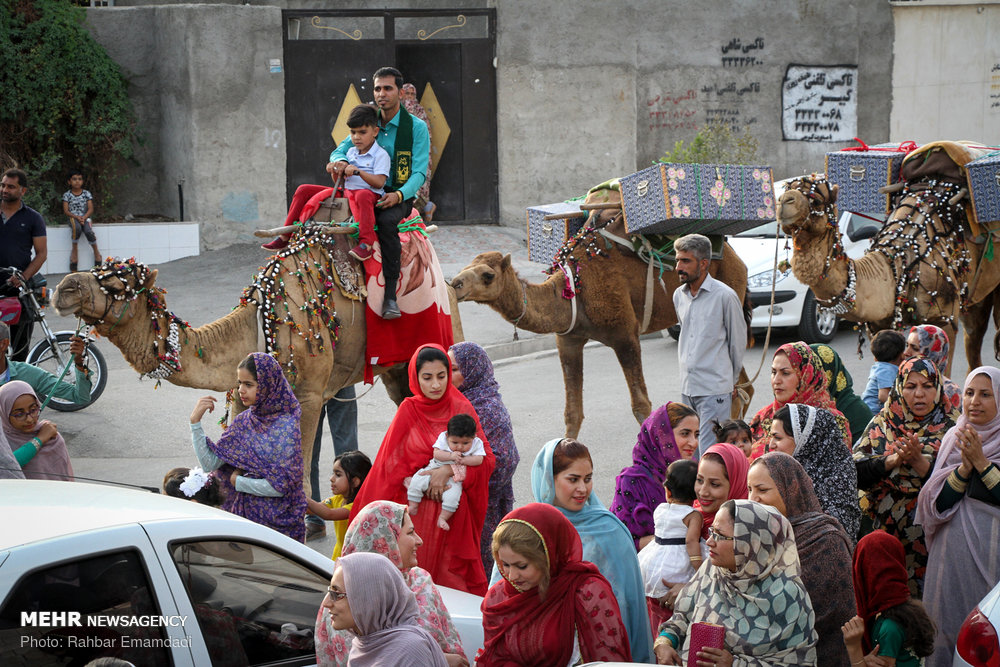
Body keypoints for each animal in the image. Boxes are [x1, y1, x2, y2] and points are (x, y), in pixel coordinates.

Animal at [52, 230, 462, 496]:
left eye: (117, 284)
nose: (63, 289)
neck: (260, 321)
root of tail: (448, 284)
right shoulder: (240, 391)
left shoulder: (310, 393)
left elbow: (298, 474)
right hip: (397, 369)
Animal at [452, 188, 752, 438]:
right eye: (467, 265)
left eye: (488, 275)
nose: (455, 283)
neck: (574, 288)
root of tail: (736, 256)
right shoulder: (568, 339)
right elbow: (572, 412)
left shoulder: (625, 335)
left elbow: (641, 406)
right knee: (742, 386)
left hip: (731, 288)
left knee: (736, 387)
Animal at [780, 141, 1000, 370]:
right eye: (786, 190)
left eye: (815, 199)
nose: (784, 201)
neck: (900, 260)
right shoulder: (879, 324)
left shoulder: (944, 319)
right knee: (973, 335)